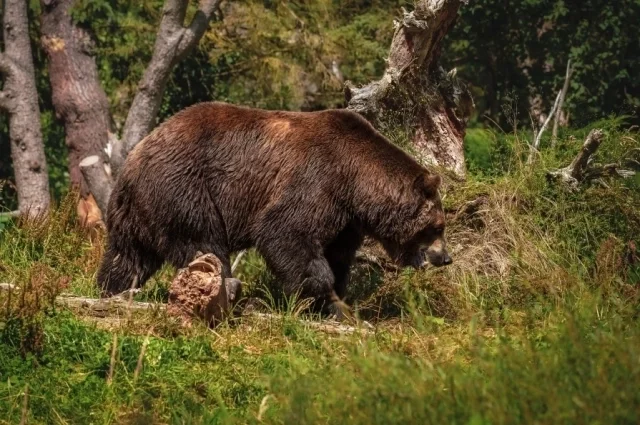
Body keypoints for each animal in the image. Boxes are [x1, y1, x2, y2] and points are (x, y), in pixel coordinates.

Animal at [97, 101, 452, 314]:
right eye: (437, 227)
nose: (445, 258)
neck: (356, 181)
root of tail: (132, 160)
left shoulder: (345, 218)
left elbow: (337, 255)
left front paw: (335, 302)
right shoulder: (317, 179)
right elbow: (284, 232)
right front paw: (313, 295)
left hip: (137, 212)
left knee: (127, 257)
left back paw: (110, 290)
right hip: (184, 189)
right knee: (204, 245)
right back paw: (229, 291)